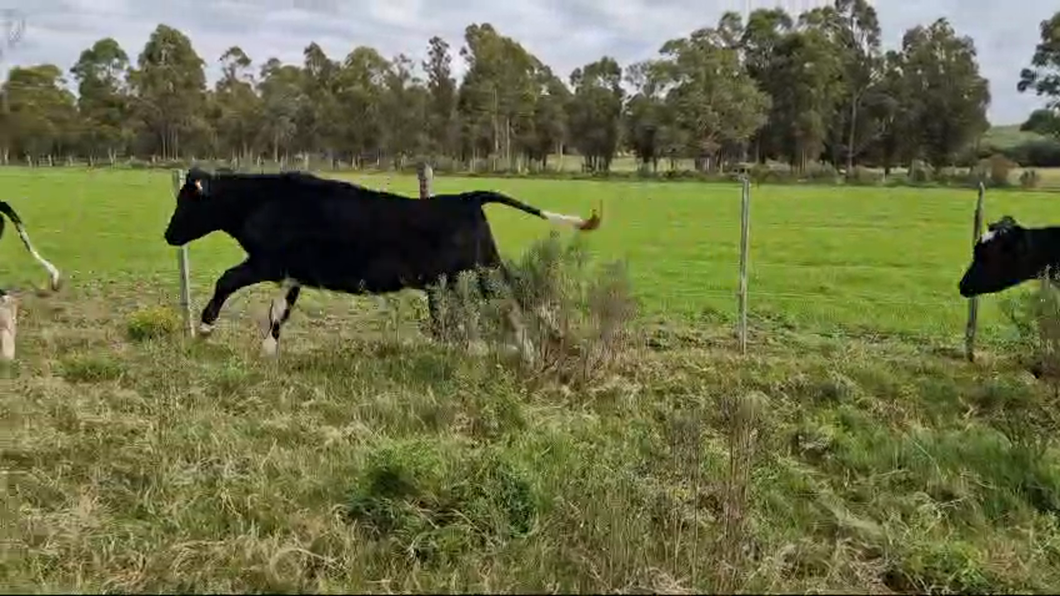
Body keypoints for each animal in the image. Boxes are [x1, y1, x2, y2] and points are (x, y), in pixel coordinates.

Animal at [160, 165, 602, 352]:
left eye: (186, 201)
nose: (167, 235)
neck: (266, 200)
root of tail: (467, 196)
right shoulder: (291, 274)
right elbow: (278, 313)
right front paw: (268, 352)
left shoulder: (266, 262)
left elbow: (226, 280)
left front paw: (205, 329)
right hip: (476, 270)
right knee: (519, 292)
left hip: (481, 270)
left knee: (517, 294)